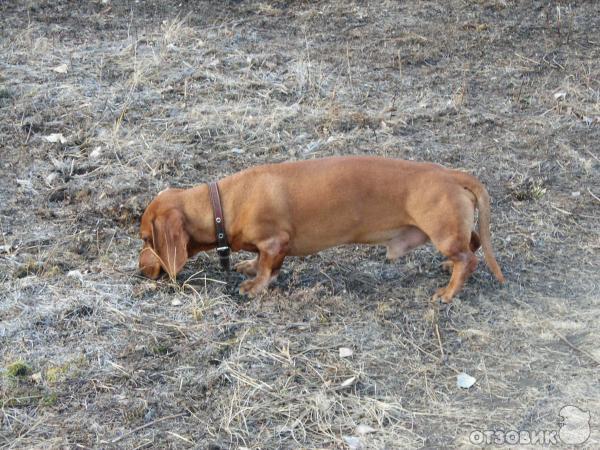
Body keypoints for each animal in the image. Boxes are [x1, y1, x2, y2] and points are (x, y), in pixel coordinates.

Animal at [138, 156, 504, 302]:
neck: (222, 206)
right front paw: (250, 267)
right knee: (471, 243)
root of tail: (449, 174)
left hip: (442, 233)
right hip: (449, 231)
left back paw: (448, 292)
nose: (140, 271)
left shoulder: (276, 242)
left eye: (145, 238)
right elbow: (260, 261)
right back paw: (447, 269)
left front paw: (255, 286)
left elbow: (268, 267)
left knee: (468, 259)